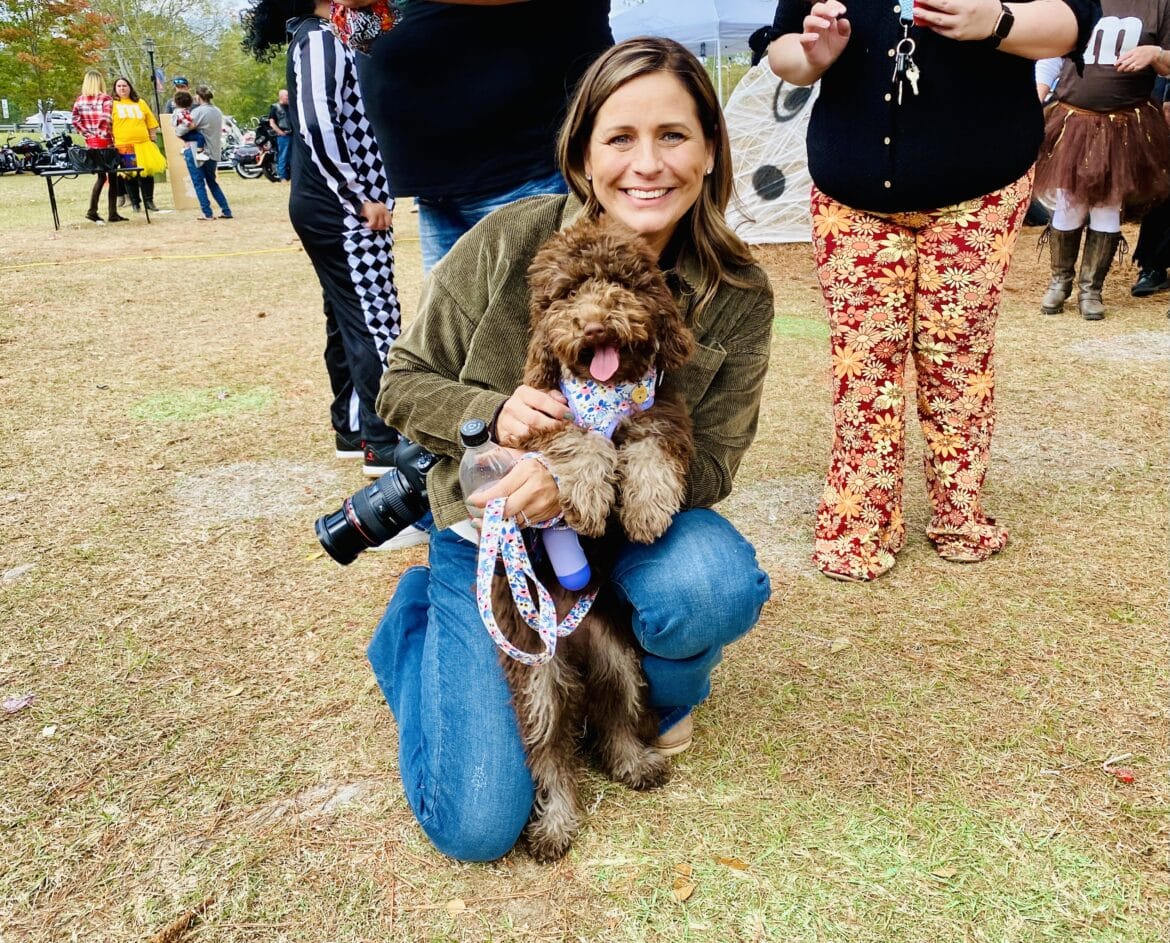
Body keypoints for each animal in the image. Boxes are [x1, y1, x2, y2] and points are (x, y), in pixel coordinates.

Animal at [488, 216, 696, 861]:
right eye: (568, 293)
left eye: (623, 286)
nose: (597, 324)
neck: (605, 394)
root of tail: (570, 646)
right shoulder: (541, 422)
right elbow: (579, 443)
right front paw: (583, 492)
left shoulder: (665, 415)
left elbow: (649, 449)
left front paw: (646, 508)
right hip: (537, 679)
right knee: (550, 753)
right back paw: (555, 824)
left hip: (620, 658)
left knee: (615, 721)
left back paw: (637, 764)